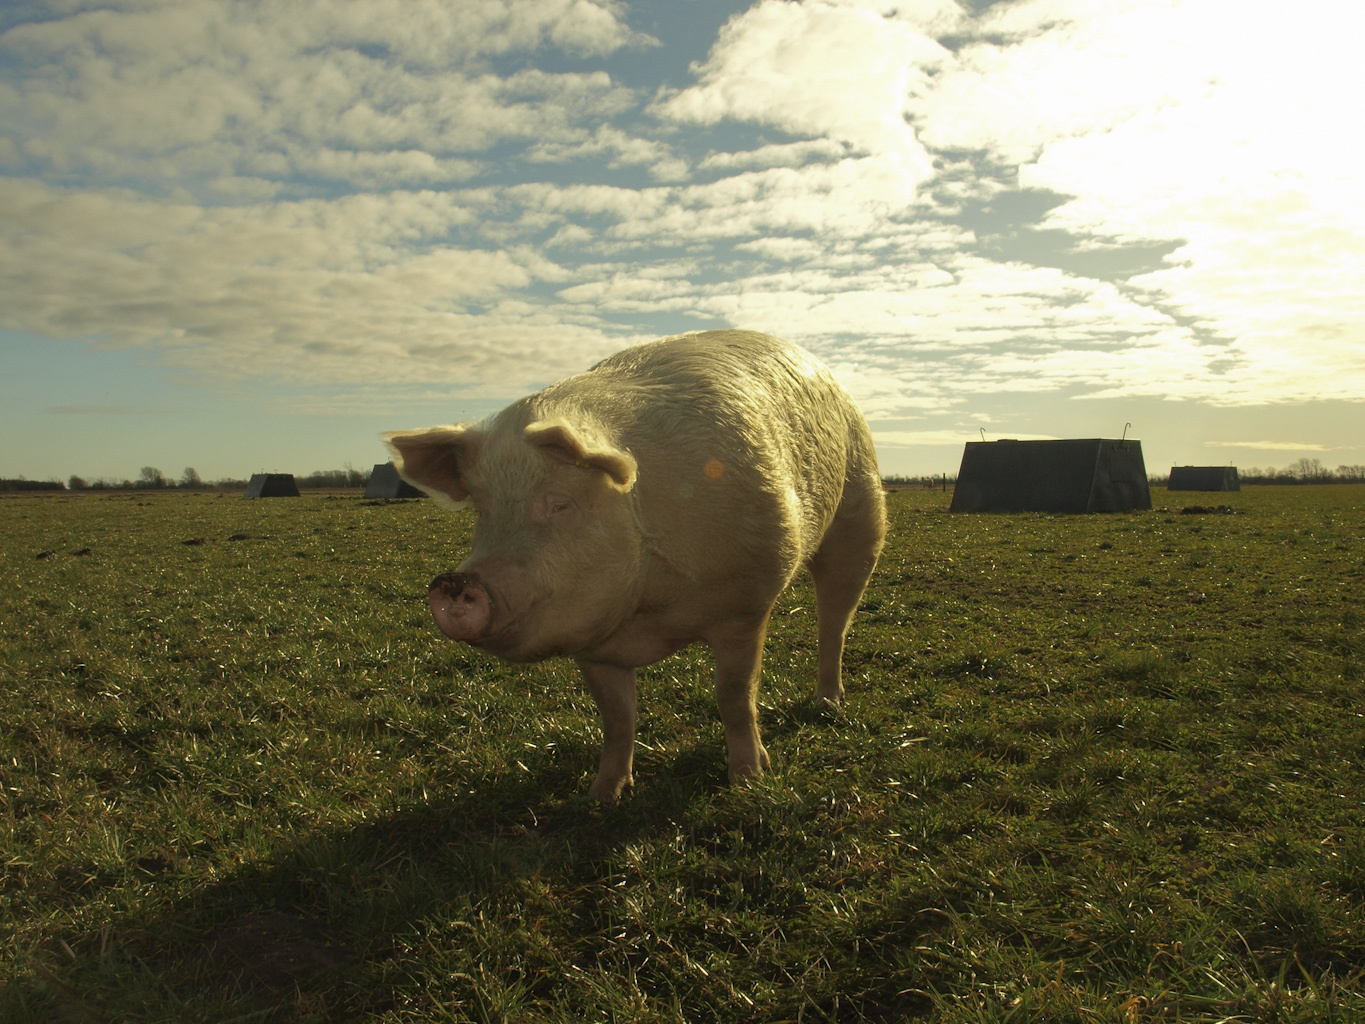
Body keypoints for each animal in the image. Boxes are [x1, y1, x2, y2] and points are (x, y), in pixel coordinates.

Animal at [390, 330, 889, 802]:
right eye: (482, 510)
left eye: (560, 504)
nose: (455, 581)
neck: (651, 611)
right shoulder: (592, 643)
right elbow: (617, 718)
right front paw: (602, 795)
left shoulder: (744, 605)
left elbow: (733, 697)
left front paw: (747, 781)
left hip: (861, 517)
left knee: (835, 623)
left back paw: (829, 705)